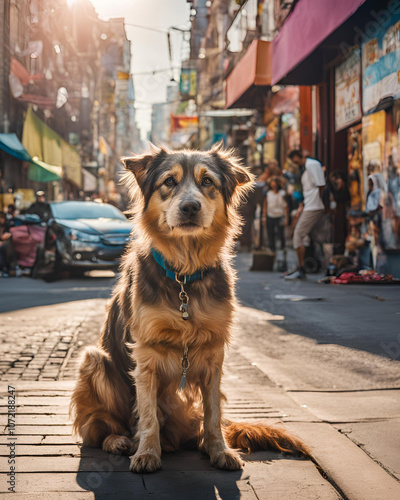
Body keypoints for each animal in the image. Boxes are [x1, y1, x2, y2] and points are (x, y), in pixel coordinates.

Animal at [69, 144, 310, 472]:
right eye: (169, 182)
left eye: (207, 181)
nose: (190, 207)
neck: (184, 272)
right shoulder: (145, 353)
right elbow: (147, 414)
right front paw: (147, 452)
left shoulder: (214, 351)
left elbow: (214, 412)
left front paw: (219, 450)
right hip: (94, 360)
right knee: (98, 428)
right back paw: (120, 441)